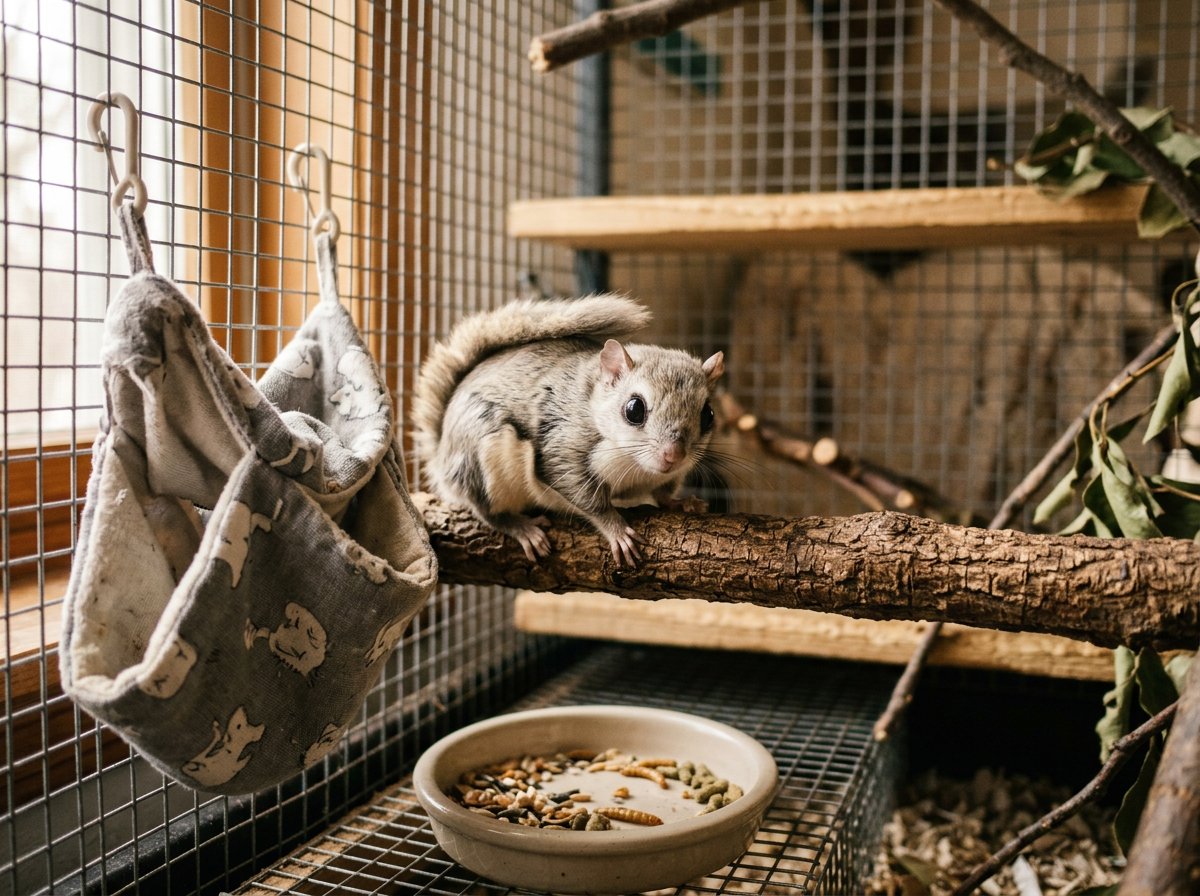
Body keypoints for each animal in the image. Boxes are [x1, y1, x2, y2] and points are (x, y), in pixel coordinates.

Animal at [413, 295, 725, 565]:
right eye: (634, 409)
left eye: (708, 415)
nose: (674, 456)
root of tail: (442, 455)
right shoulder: (562, 445)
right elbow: (585, 496)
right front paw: (616, 530)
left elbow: (662, 494)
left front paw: (681, 502)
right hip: (482, 456)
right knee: (485, 510)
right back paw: (522, 527)